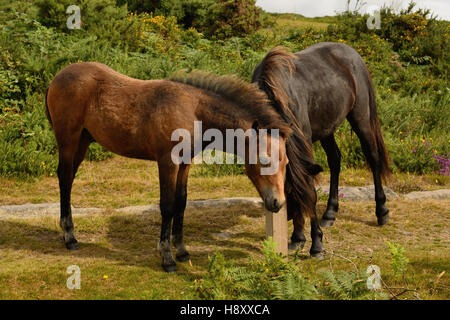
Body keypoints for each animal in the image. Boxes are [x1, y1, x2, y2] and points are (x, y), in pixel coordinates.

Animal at [45, 63, 292, 272]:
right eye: (264, 160)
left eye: (286, 163)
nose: (278, 202)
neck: (193, 111)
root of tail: (58, 76)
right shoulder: (167, 162)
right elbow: (167, 205)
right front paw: (167, 258)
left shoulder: (185, 163)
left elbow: (181, 202)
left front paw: (182, 251)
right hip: (68, 140)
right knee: (64, 178)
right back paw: (70, 237)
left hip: (83, 140)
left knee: (68, 178)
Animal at [253, 43, 390, 255]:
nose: (279, 208)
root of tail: (352, 53)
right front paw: (298, 237)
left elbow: (310, 190)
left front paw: (315, 243)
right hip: (327, 129)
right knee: (335, 160)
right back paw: (330, 213)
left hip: (361, 118)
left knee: (373, 157)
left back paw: (381, 211)